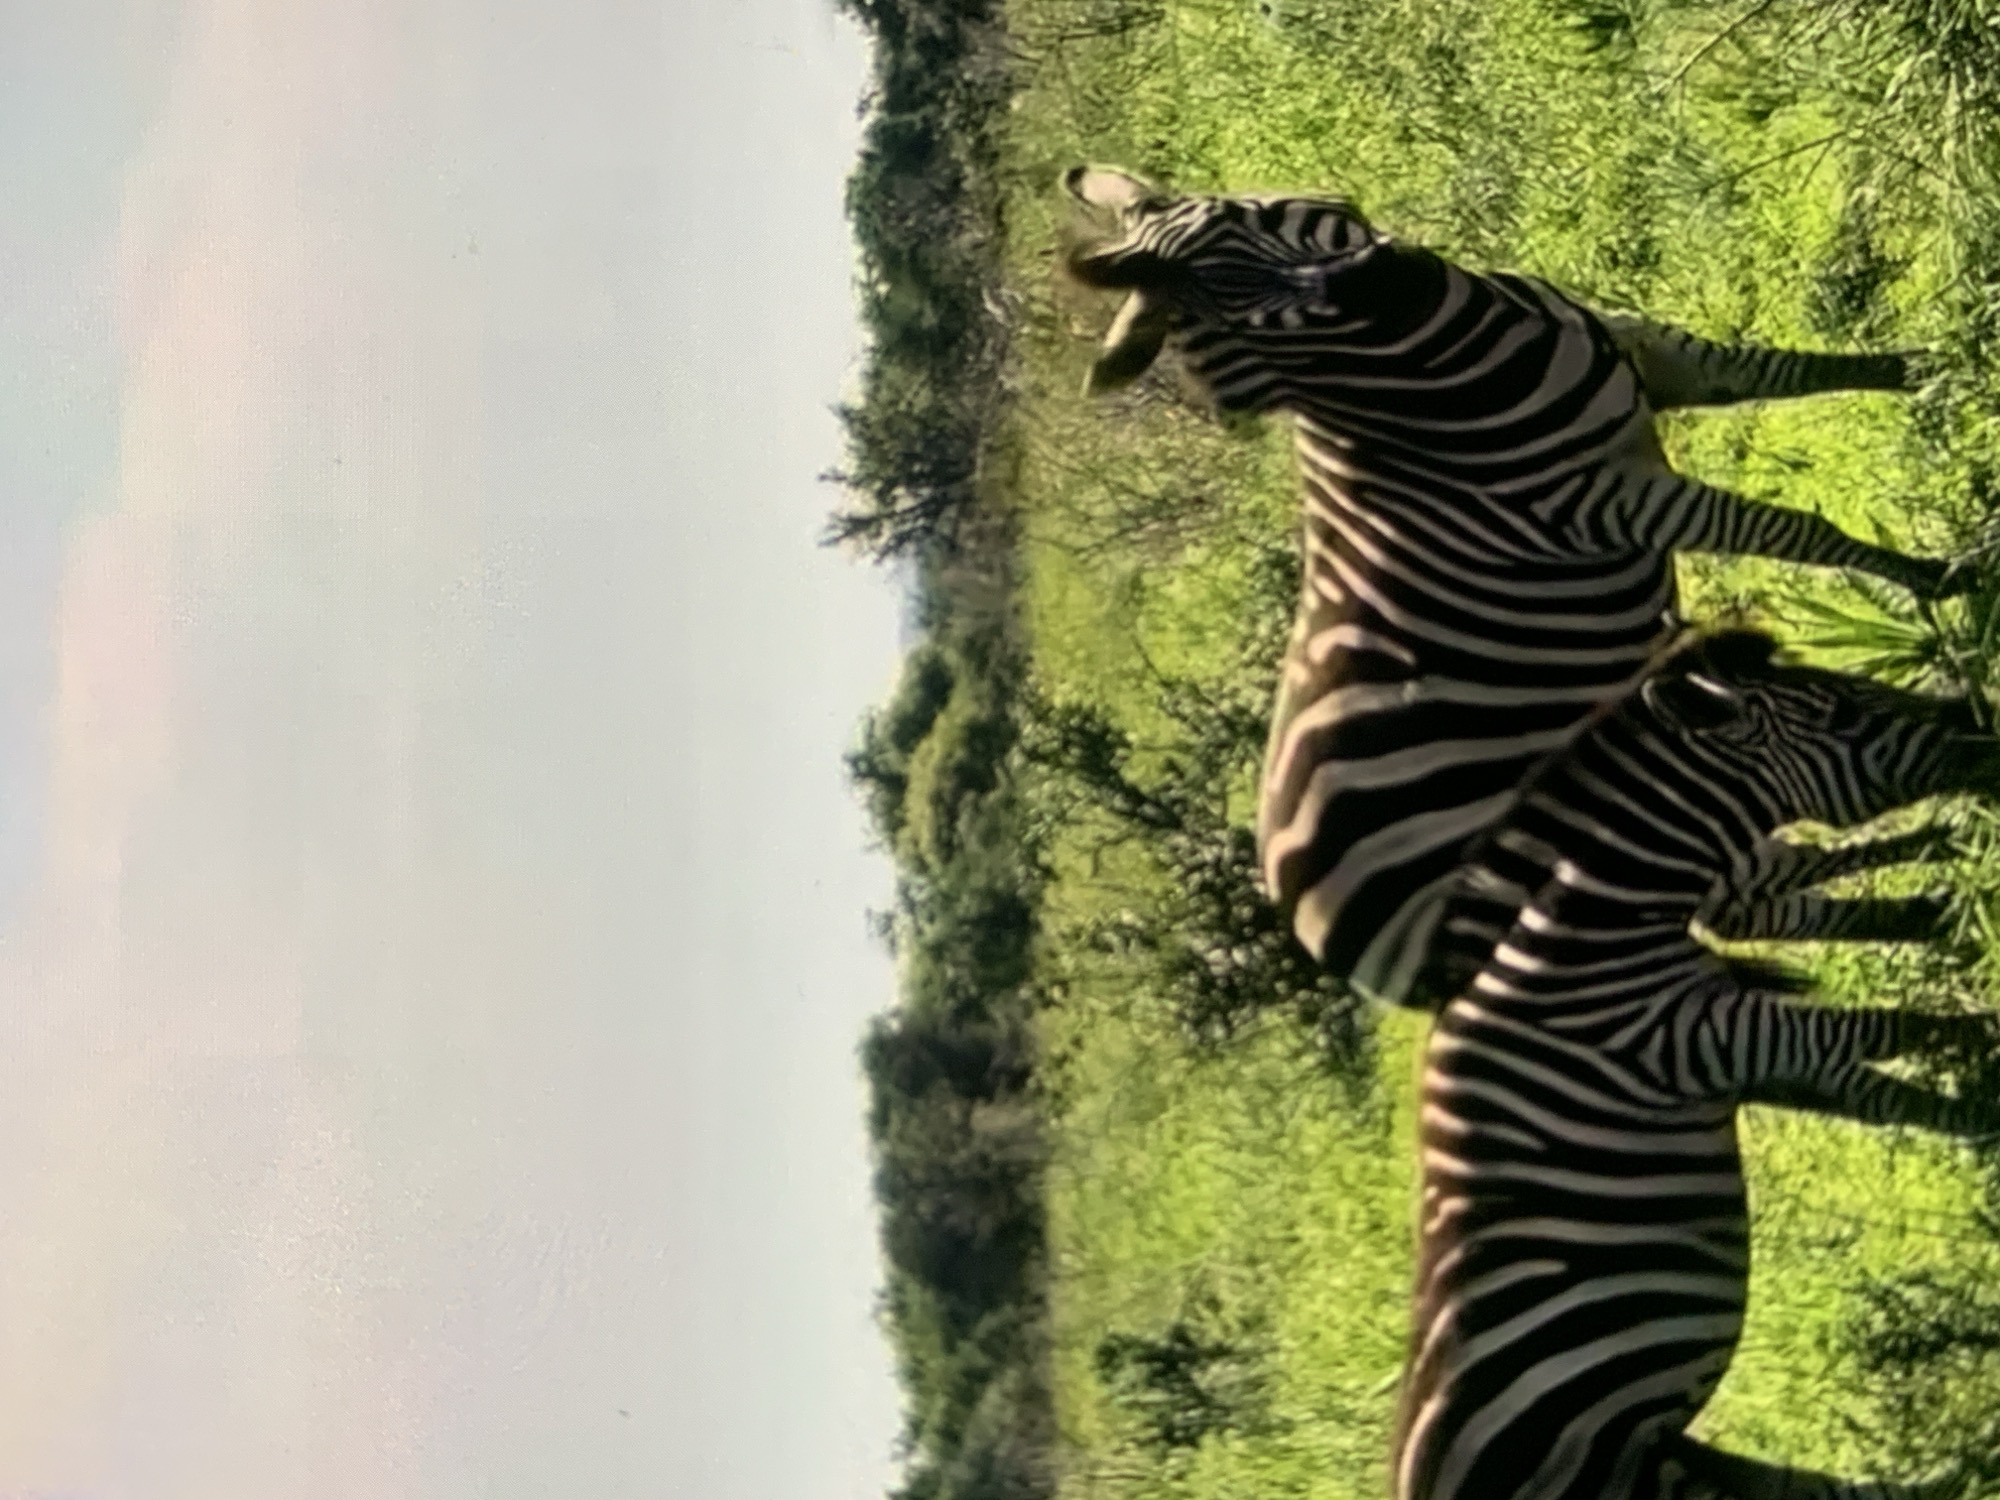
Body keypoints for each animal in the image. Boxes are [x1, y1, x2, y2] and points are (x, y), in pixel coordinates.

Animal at [1063, 165, 1971, 1006]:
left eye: (1241, 224)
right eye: (1230, 312)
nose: (1387, 281)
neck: (1437, 364)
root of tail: (1315, 927)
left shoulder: (1644, 349)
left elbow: (1782, 371)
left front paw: (1924, 364)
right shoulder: (1605, 505)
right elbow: (1796, 533)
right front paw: (1940, 578)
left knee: (1755, 892)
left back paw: (1936, 883)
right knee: (1754, 898)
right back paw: (1937, 900)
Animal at [1400, 628, 1997, 1500]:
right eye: (1842, 714)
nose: (1984, 719)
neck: (1590, 938)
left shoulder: (1754, 1062)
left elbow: (1897, 1101)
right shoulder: (1717, 1036)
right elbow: (1904, 1029)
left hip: (1663, 1455)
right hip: (1621, 1469)